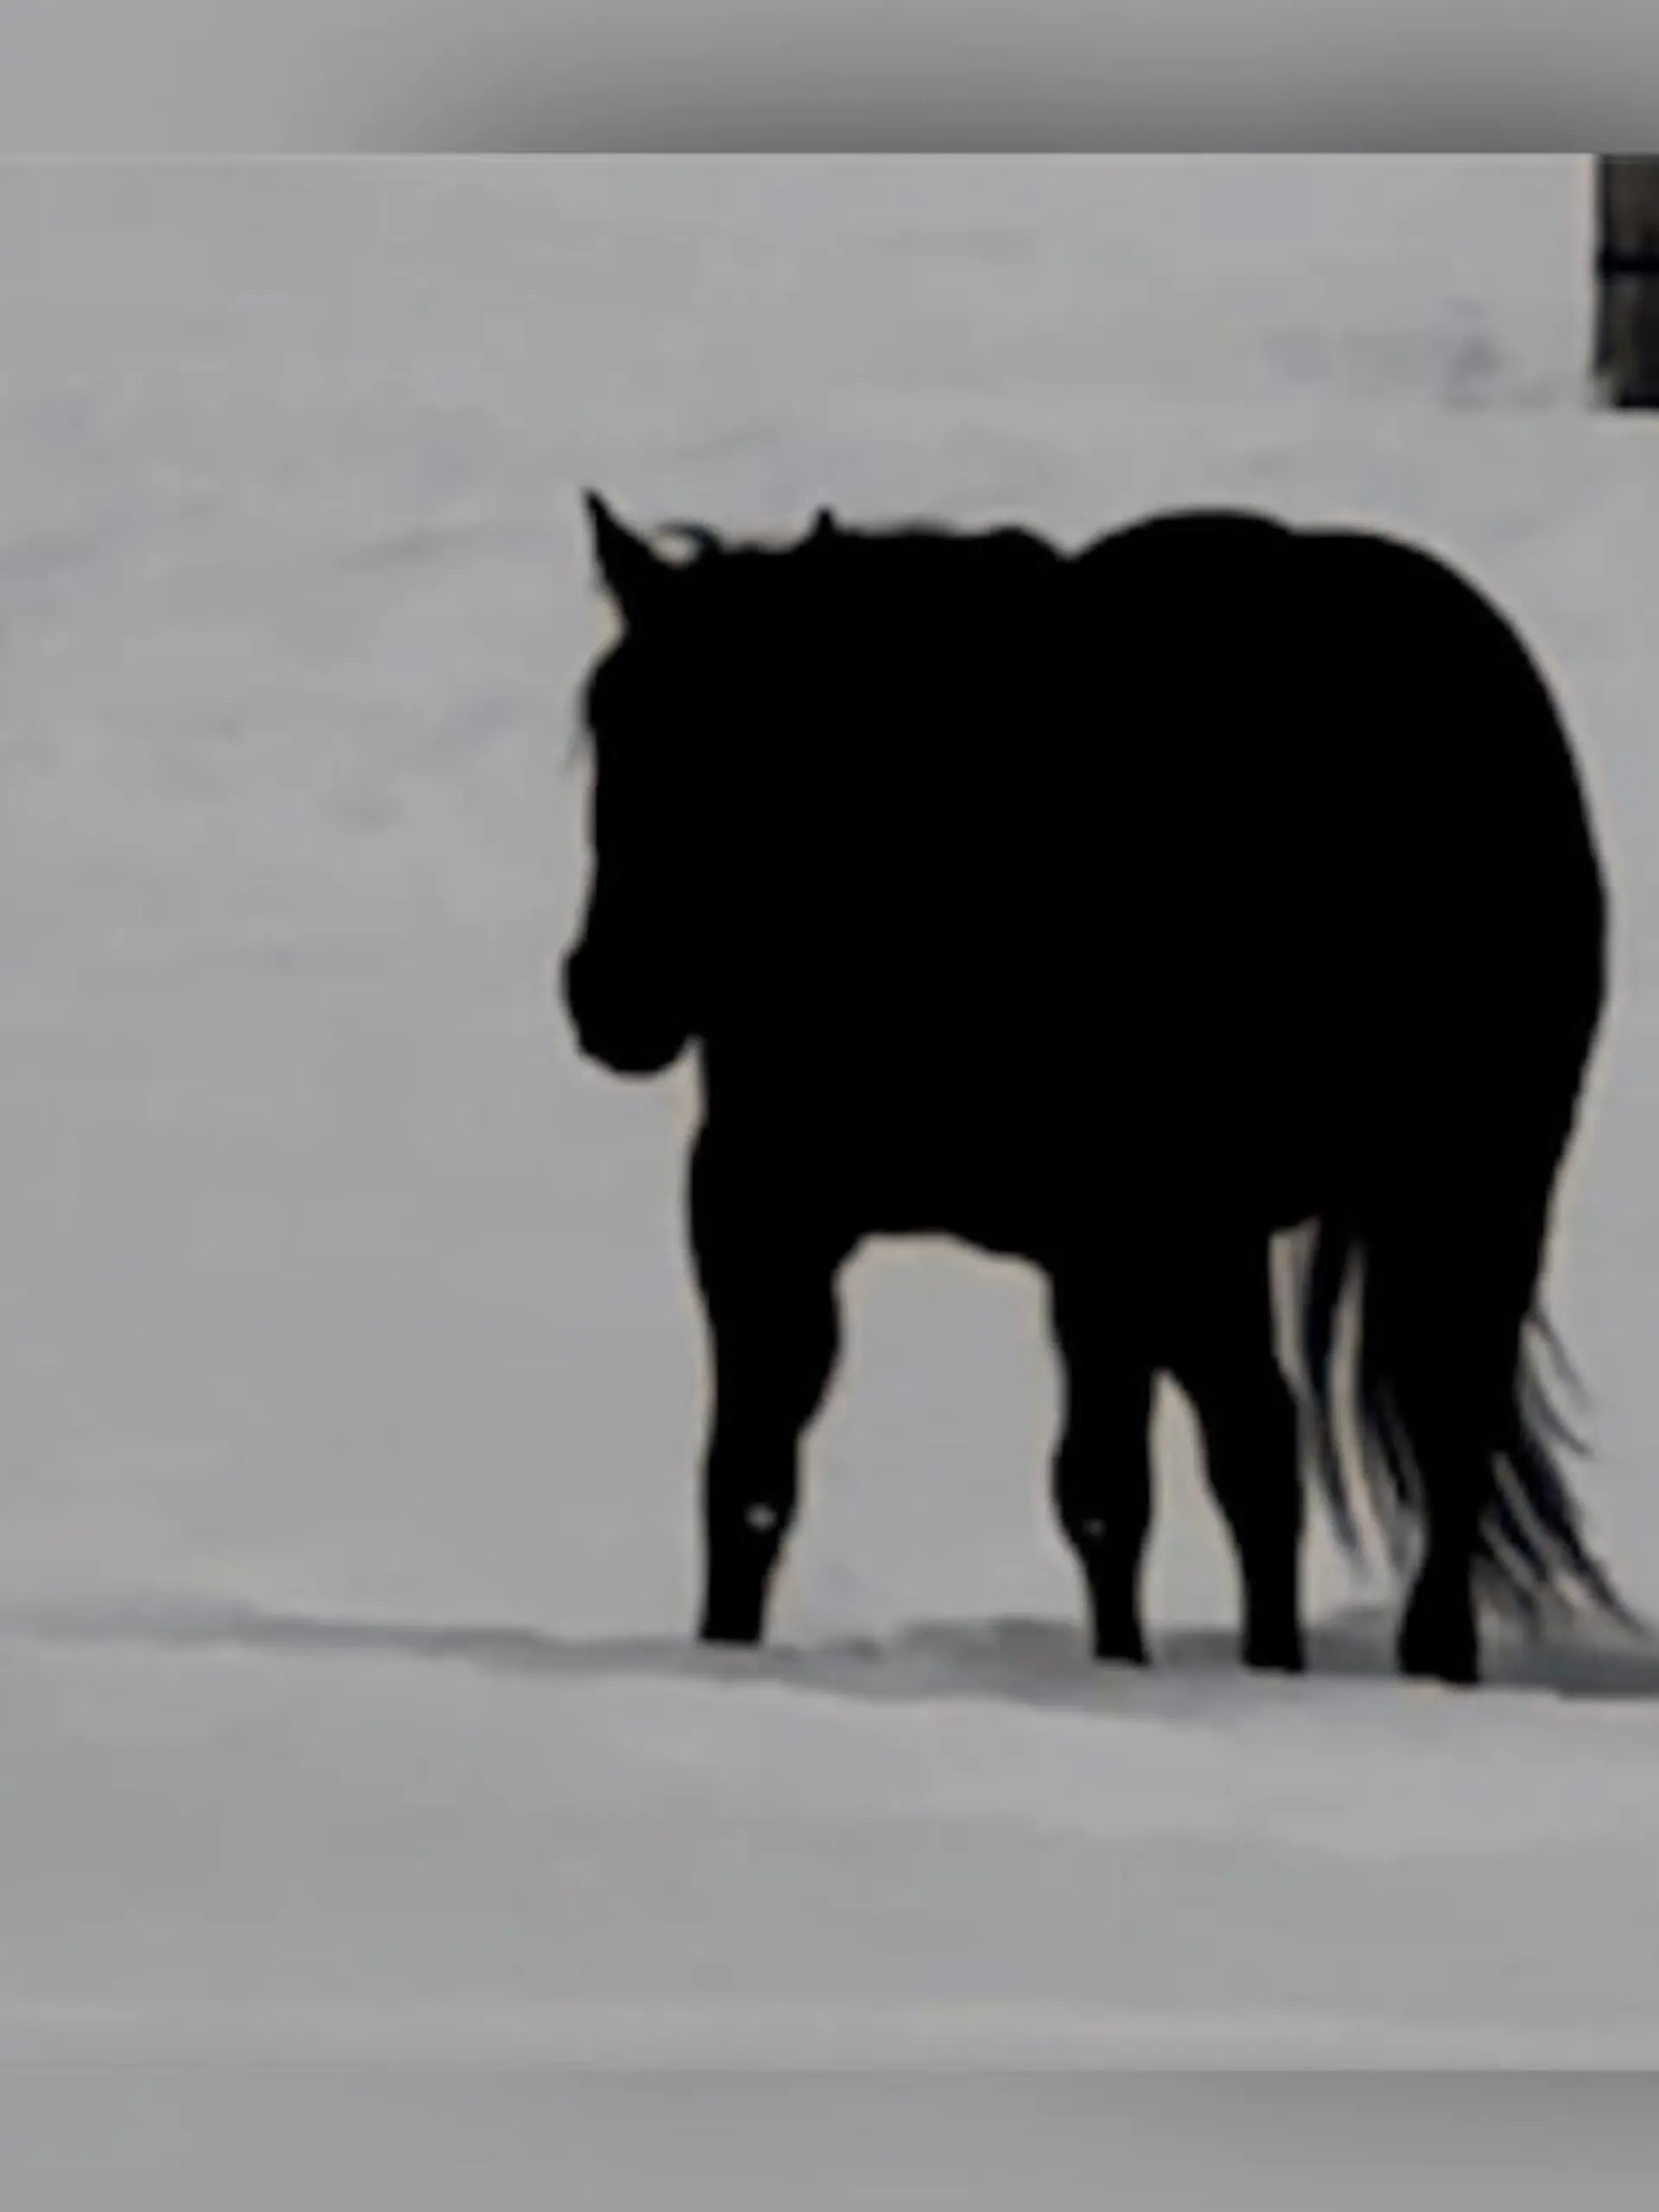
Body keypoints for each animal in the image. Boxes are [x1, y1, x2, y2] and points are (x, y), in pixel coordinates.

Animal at [561, 488, 1622, 1686]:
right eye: (609, 718)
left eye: (758, 748)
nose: (611, 995)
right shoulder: (763, 1215)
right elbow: (746, 1481)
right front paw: (723, 1658)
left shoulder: (1111, 1241)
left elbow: (1105, 1496)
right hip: (1220, 1247)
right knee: (1263, 1448)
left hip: (1465, 1189)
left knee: (1443, 1434)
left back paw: (1429, 1660)